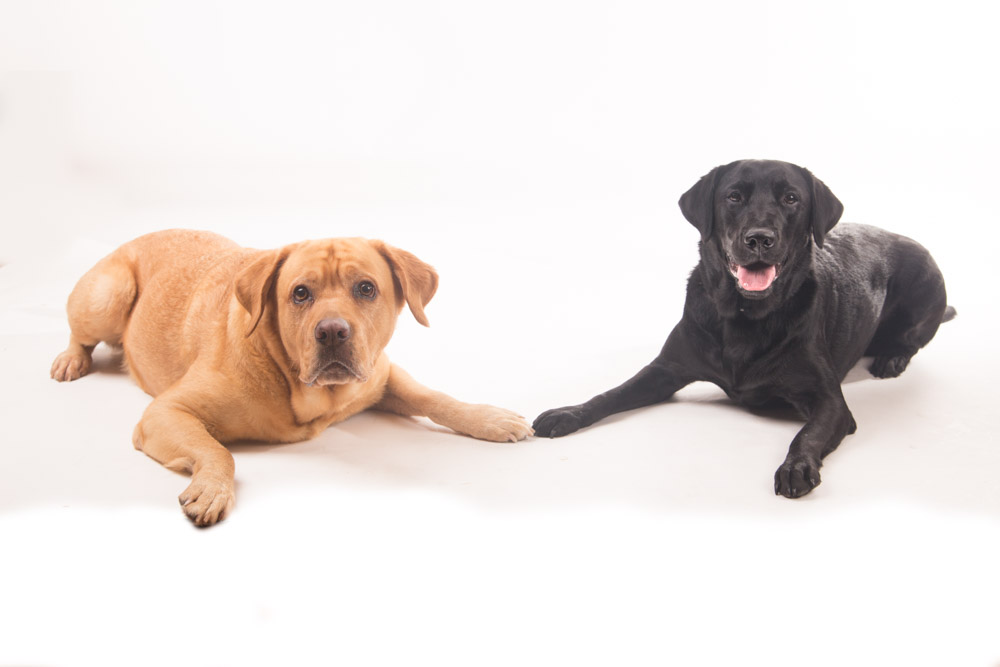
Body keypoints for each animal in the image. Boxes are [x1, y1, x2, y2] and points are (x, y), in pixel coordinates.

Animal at [48, 230, 532, 528]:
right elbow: (218, 451)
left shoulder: (383, 375)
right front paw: (212, 487)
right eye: (300, 293)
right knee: (80, 333)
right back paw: (71, 359)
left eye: (366, 288)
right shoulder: (167, 411)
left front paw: (488, 418)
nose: (332, 331)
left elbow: (436, 398)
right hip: (106, 296)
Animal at [536, 160, 956, 496]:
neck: (743, 317)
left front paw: (796, 466)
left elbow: (807, 434)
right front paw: (567, 413)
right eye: (734, 197)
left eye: (791, 199)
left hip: (925, 287)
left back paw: (892, 358)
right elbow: (611, 394)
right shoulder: (665, 369)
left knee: (913, 338)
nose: (759, 238)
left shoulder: (831, 403)